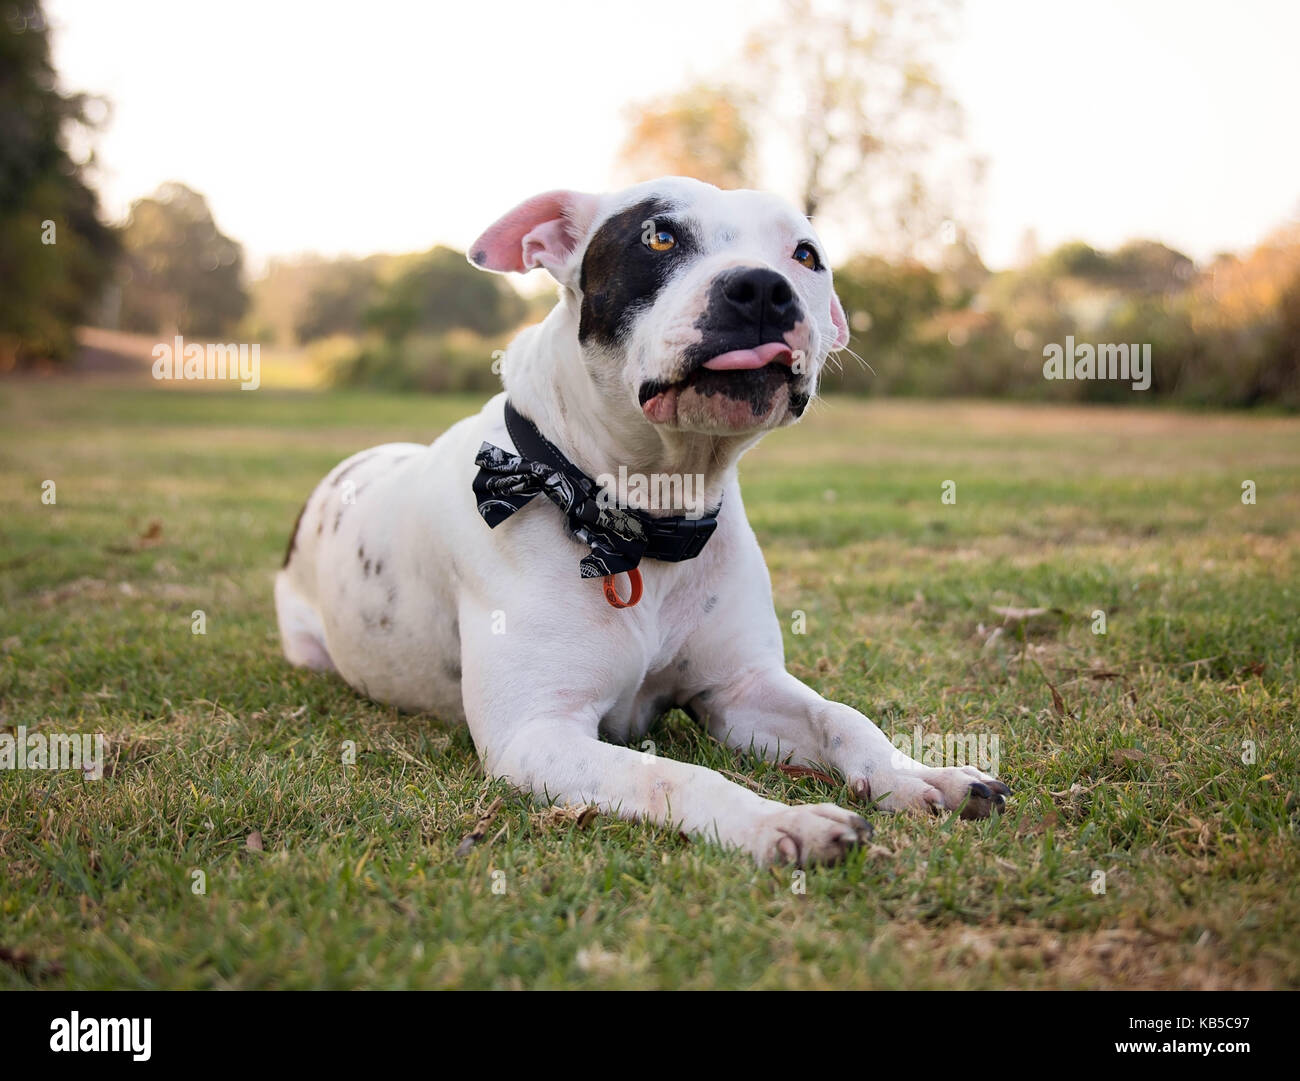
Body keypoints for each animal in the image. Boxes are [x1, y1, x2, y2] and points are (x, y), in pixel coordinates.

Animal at [271, 179, 1003, 867]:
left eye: (805, 255)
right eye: (659, 237)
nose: (763, 288)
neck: (646, 516)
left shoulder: (740, 689)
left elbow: (842, 717)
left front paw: (919, 774)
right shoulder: (536, 731)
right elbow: (674, 775)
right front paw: (783, 823)